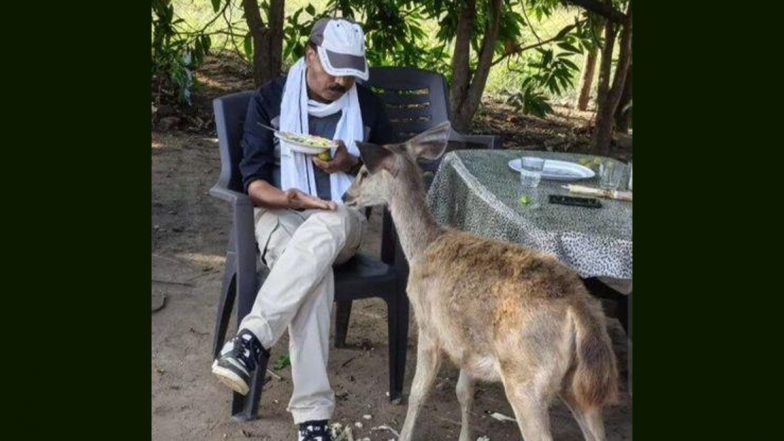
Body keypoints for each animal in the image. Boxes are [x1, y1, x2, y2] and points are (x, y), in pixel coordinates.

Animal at [344, 121, 619, 441]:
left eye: (365, 172)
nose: (346, 195)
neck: (423, 247)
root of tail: (580, 309)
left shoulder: (429, 325)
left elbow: (418, 392)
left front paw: (404, 435)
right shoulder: (467, 344)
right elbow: (464, 393)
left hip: (526, 377)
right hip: (579, 388)